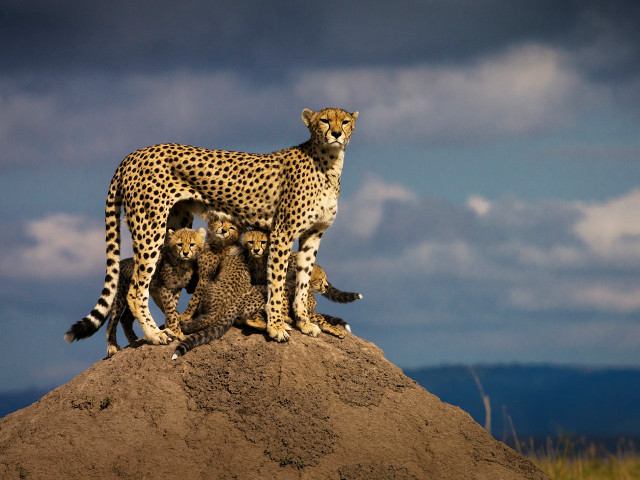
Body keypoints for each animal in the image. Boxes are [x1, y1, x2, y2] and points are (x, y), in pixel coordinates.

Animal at [64, 227, 205, 356]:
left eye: (192, 244)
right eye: (180, 244)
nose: (186, 253)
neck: (182, 263)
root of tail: (120, 263)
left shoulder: (176, 290)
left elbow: (173, 309)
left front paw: (172, 325)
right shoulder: (165, 288)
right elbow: (170, 310)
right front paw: (176, 331)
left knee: (126, 318)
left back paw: (134, 340)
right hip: (120, 299)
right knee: (112, 322)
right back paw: (112, 346)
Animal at [80, 107, 358, 346]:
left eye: (344, 121)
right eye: (324, 120)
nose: (336, 134)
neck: (329, 163)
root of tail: (134, 153)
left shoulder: (313, 234)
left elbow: (302, 280)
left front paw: (304, 322)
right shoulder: (282, 233)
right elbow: (277, 283)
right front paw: (277, 327)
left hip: (176, 225)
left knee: (162, 284)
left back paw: (173, 325)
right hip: (149, 226)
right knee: (137, 288)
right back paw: (154, 335)